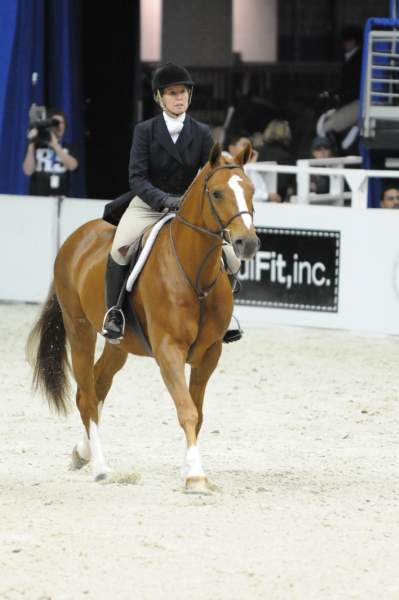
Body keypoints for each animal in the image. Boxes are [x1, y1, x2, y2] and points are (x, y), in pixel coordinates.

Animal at [27, 142, 260, 492]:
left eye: (251, 190)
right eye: (217, 193)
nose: (248, 243)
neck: (194, 273)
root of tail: (75, 239)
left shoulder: (209, 354)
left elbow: (197, 411)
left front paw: (188, 467)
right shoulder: (168, 351)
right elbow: (187, 410)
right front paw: (195, 476)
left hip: (119, 345)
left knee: (97, 387)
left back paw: (82, 452)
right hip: (79, 330)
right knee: (86, 396)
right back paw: (100, 467)